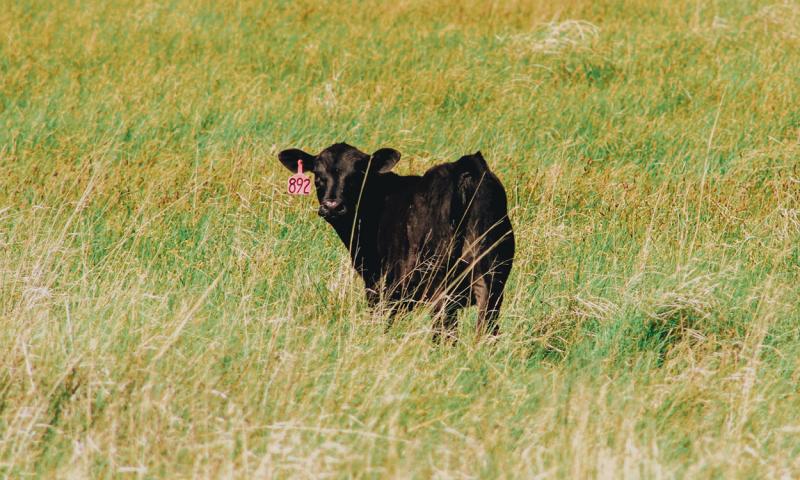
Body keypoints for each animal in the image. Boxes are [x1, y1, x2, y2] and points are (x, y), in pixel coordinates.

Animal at [277, 143, 515, 338]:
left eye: (359, 174)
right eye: (317, 175)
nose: (332, 206)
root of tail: (464, 167)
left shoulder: (382, 287)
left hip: (438, 279)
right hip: (492, 279)